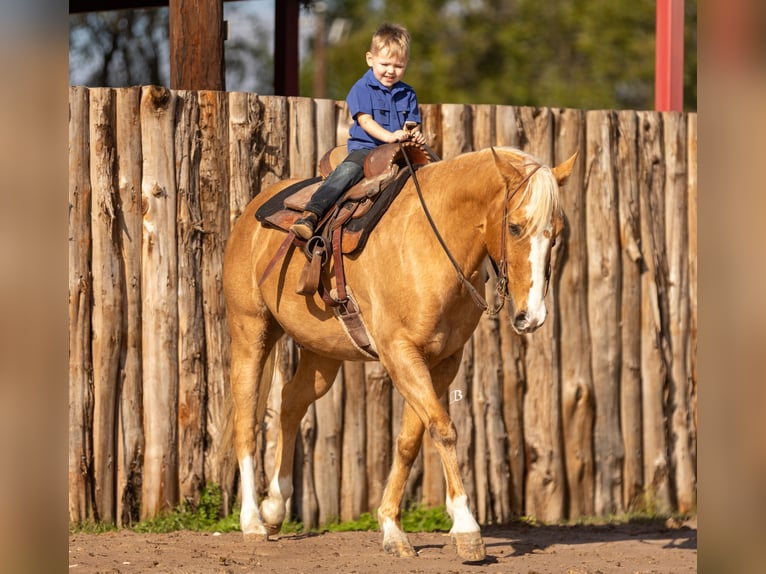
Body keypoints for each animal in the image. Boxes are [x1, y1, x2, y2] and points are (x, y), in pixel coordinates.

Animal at [222, 145, 576, 562]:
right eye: (516, 227)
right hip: (251, 333)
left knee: (292, 402)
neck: (431, 242)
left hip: (322, 354)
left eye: (557, 234)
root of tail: (253, 211)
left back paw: (275, 507)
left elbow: (411, 439)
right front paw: (467, 528)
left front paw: (392, 526)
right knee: (246, 421)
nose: (531, 317)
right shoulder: (400, 354)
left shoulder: (442, 361)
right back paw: (252, 522)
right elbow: (443, 429)